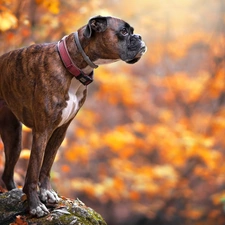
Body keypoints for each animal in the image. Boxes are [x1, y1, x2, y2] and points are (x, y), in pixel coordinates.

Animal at [0, 15, 147, 216]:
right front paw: (35, 205)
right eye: (124, 32)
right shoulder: (42, 131)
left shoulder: (60, 131)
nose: (139, 36)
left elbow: (47, 164)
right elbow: (33, 170)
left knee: (7, 174)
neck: (71, 65)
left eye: (132, 31)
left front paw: (47, 193)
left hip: (13, 138)